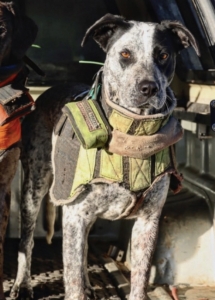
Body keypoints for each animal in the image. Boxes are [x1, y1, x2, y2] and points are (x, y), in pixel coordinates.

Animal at [10, 14, 199, 300]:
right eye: (125, 54)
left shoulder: (147, 222)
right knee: (27, 241)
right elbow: (72, 280)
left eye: (164, 55)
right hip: (34, 188)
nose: (148, 88)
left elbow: (139, 281)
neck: (132, 134)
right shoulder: (75, 217)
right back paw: (22, 284)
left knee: (84, 250)